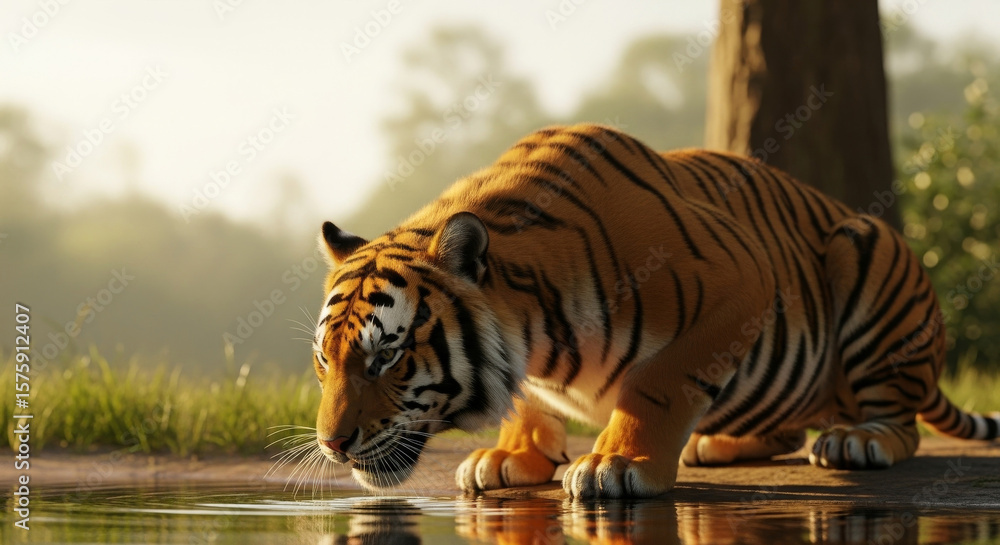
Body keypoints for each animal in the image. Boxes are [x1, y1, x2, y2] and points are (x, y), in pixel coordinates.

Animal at [311, 123, 1000, 498]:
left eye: (387, 357)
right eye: (324, 362)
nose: (332, 445)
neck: (536, 333)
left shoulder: (742, 280)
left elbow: (658, 382)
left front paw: (615, 463)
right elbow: (530, 403)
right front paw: (510, 456)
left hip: (862, 246)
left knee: (902, 425)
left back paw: (859, 440)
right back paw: (718, 443)